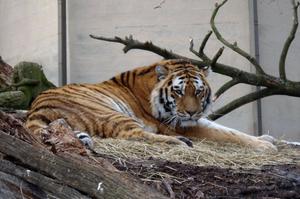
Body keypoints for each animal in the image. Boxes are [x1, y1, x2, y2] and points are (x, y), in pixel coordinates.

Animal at [25, 59, 276, 152]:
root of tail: (35, 108)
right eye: (178, 91)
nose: (191, 111)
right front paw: (266, 146)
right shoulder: (181, 124)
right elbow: (227, 135)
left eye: (198, 91)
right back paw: (180, 142)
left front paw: (268, 139)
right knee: (134, 135)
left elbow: (228, 129)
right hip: (108, 112)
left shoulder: (192, 120)